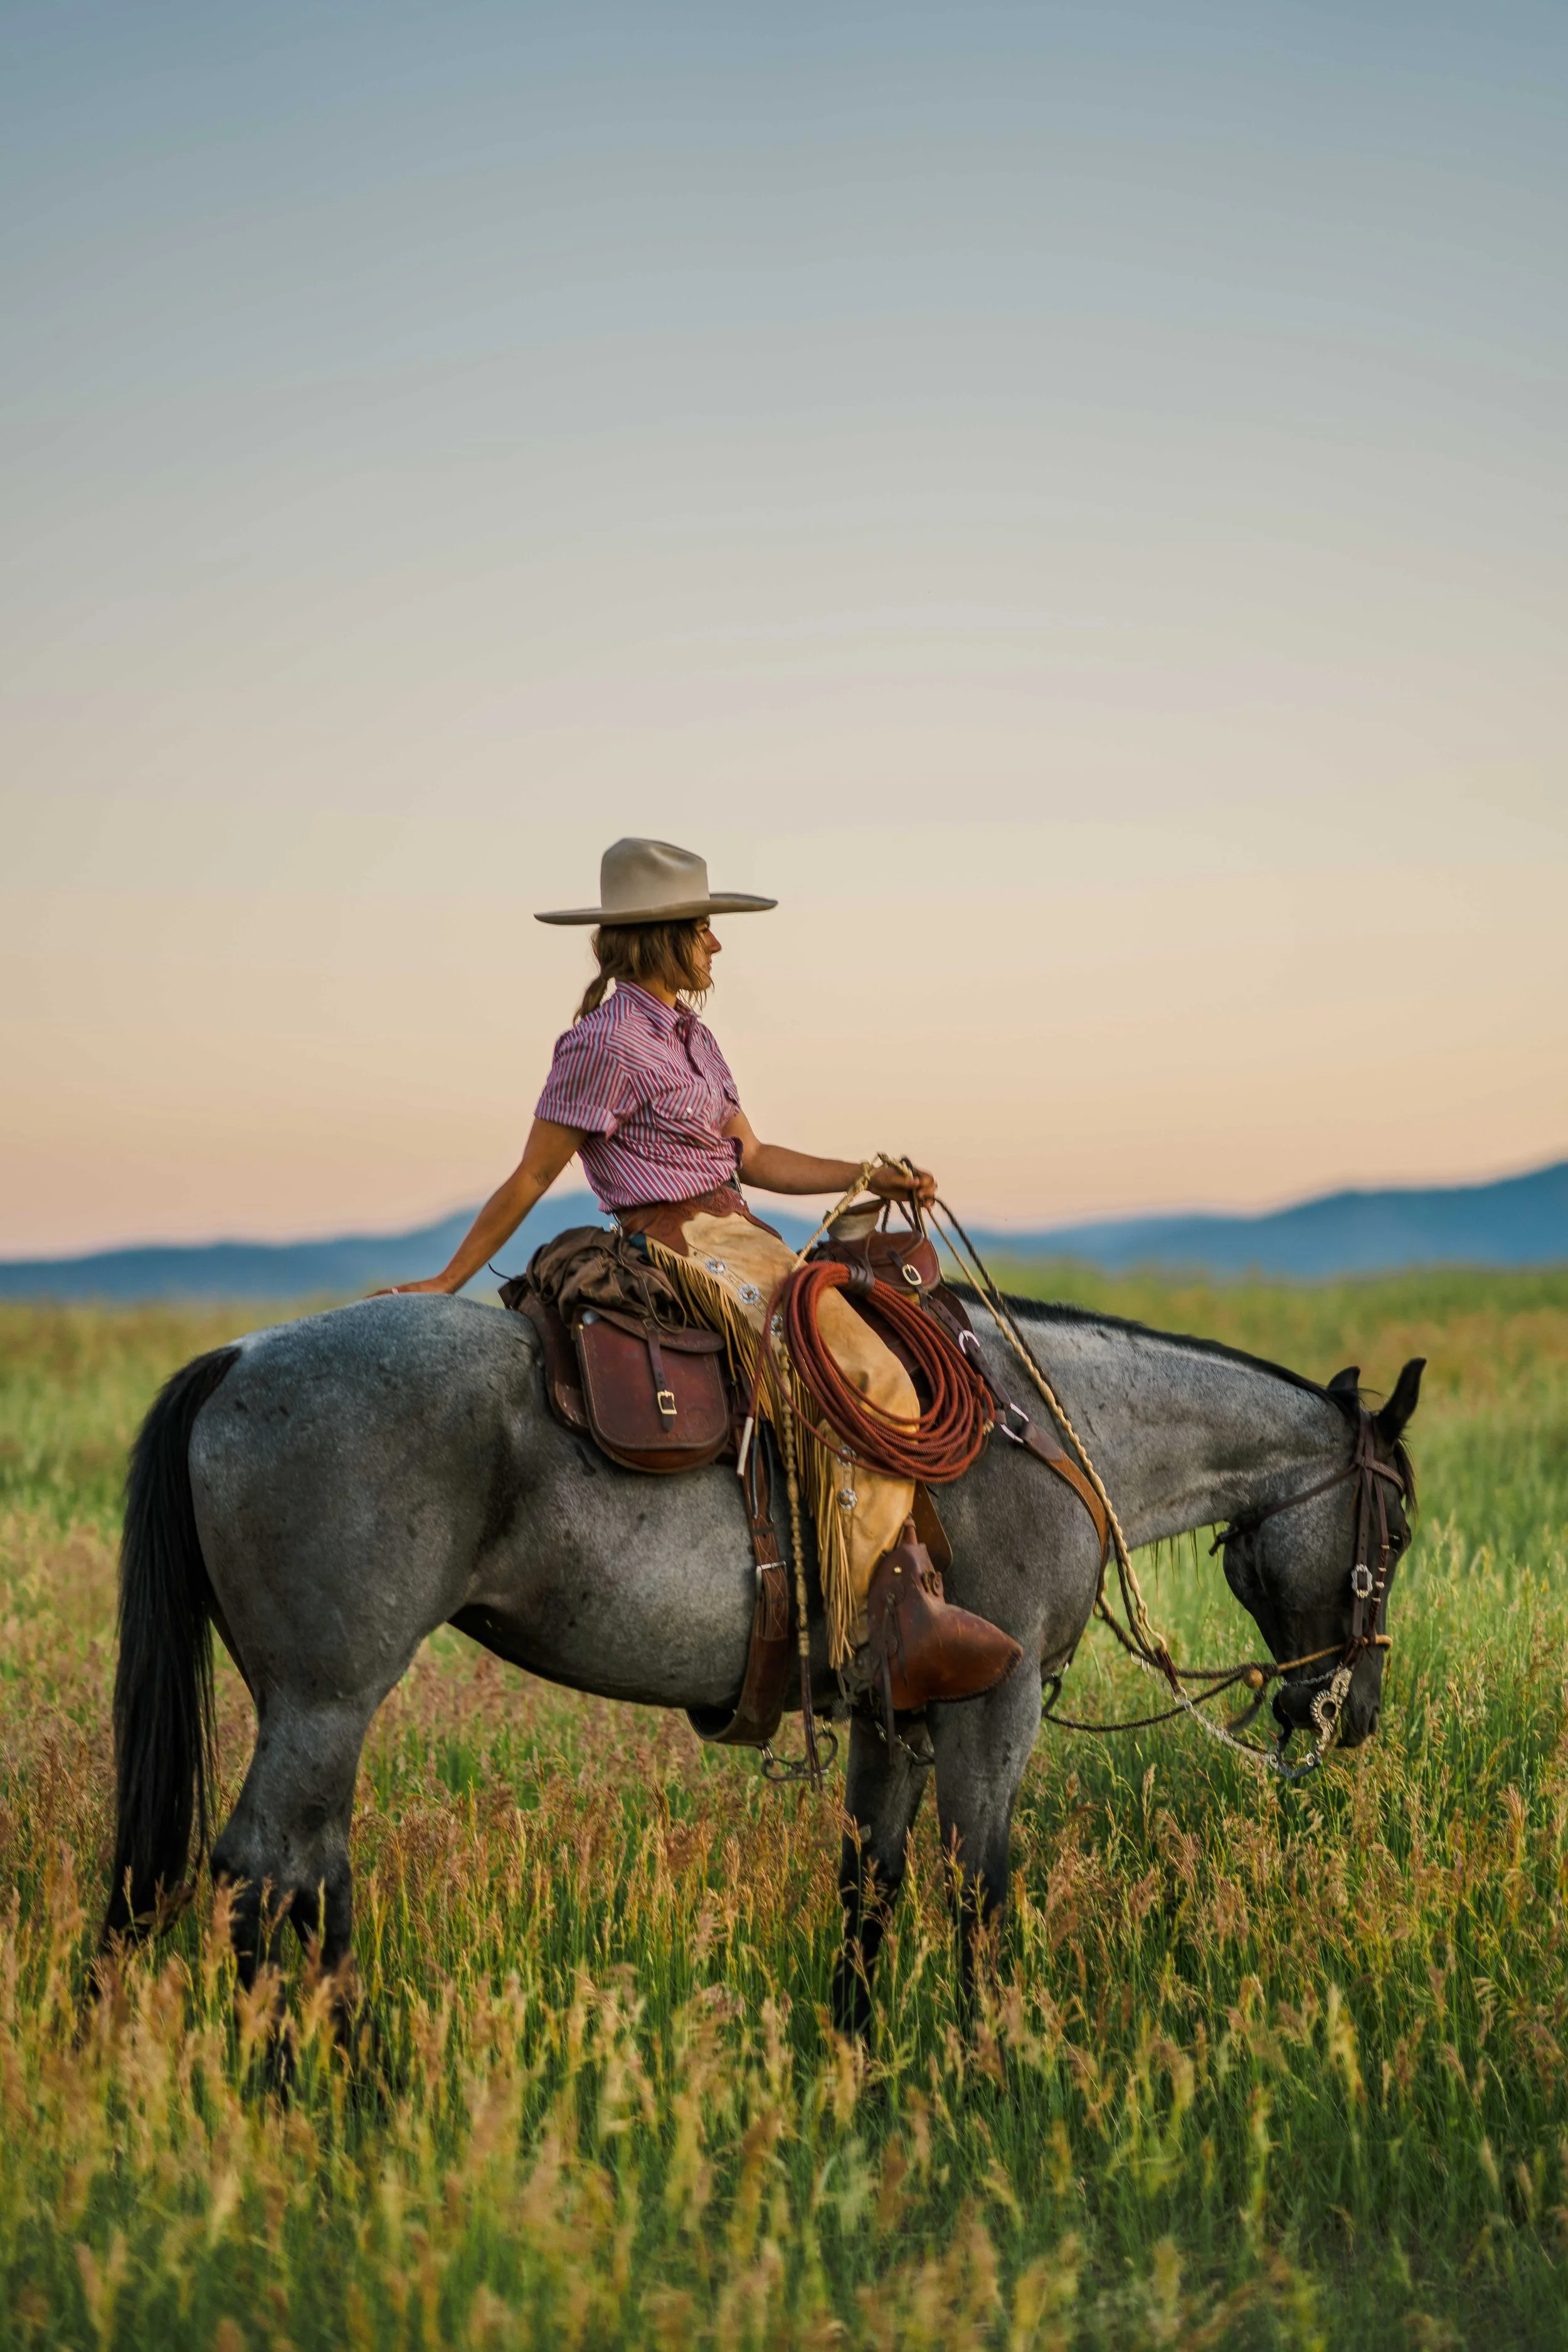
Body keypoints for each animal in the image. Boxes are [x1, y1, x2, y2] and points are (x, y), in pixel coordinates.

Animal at [103, 1289, 1422, 2034]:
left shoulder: (897, 1718)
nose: (1348, 1713)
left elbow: (870, 1887)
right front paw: (997, 2068)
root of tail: (238, 1358)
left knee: (309, 1872)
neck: (1042, 1437)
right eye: (1399, 1533)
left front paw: (854, 2066)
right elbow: (980, 1891)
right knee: (260, 1873)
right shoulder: (991, 1710)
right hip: (327, 1700)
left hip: (311, 1707)